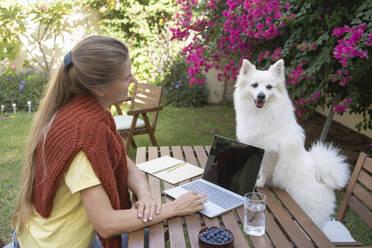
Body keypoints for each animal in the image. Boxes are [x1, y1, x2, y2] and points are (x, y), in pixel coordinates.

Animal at [234, 59, 350, 228]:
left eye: (269, 87)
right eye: (254, 85)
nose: (261, 96)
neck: (262, 113)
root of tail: (322, 178)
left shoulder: (270, 151)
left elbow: (266, 170)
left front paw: (260, 182)